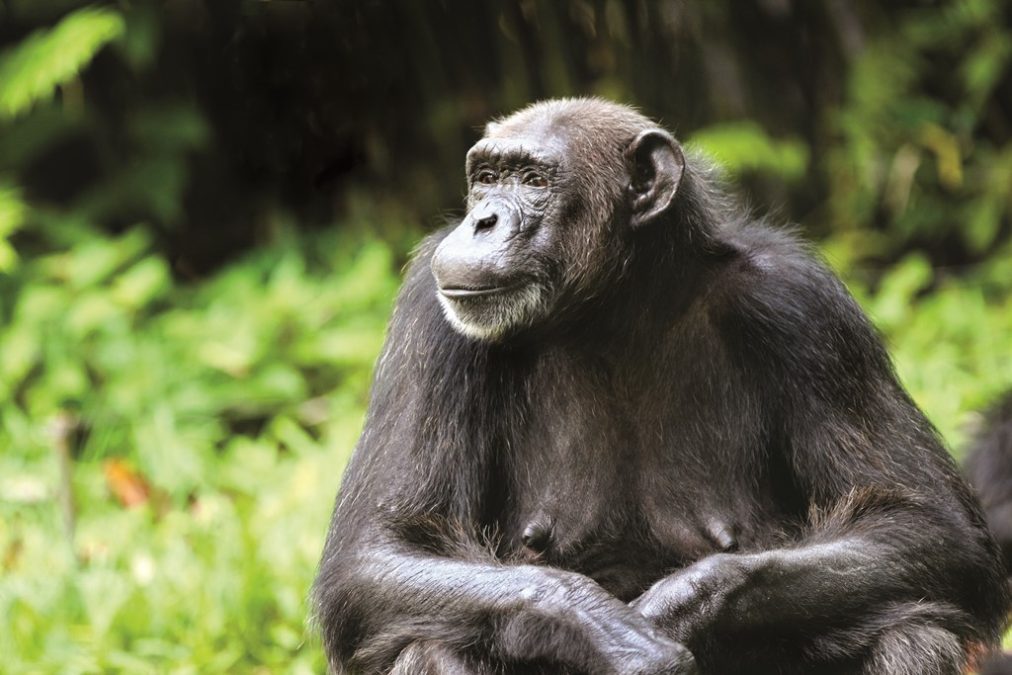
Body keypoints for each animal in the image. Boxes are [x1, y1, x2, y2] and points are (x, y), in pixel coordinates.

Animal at [311, 100, 1007, 675]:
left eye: (533, 181)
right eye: (486, 178)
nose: (482, 220)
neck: (614, 309)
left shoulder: (806, 310)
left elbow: (926, 523)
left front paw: (679, 606)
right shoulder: (430, 323)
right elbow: (380, 549)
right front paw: (603, 629)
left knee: (912, 628)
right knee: (432, 642)